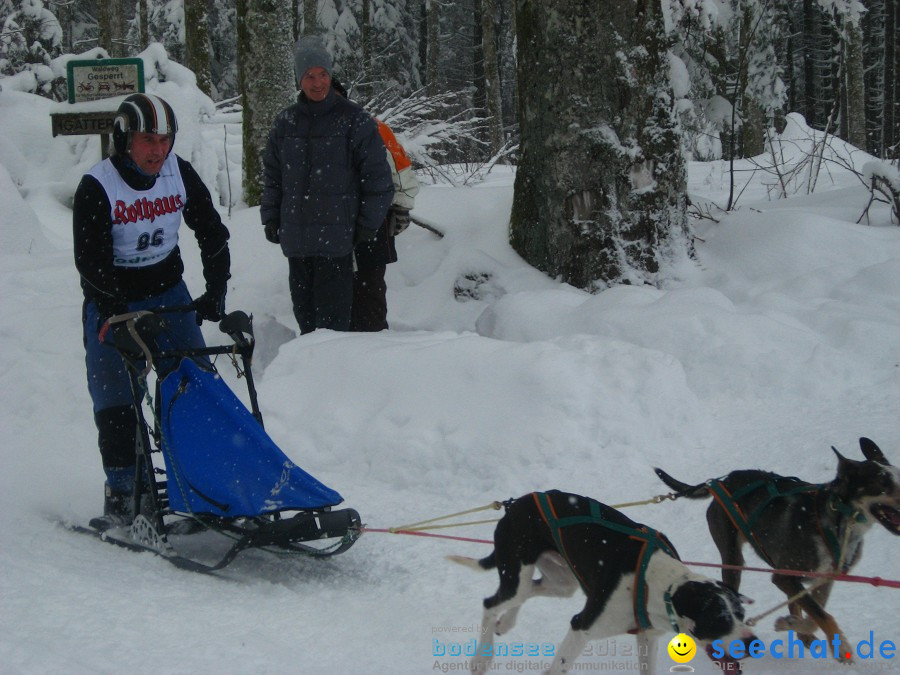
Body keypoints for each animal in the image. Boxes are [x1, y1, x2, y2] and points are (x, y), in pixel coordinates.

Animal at [450, 492, 752, 675]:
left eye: (741, 614)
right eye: (718, 618)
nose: (753, 643)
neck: (654, 582)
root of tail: (515, 505)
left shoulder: (647, 636)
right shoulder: (581, 626)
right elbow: (558, 667)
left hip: (562, 582)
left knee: (528, 592)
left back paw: (506, 623)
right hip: (516, 573)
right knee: (491, 603)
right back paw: (481, 659)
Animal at [652, 436, 900, 664]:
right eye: (882, 482)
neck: (836, 522)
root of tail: (721, 481)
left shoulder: (824, 579)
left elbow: (816, 614)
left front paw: (794, 625)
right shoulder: (784, 576)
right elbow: (822, 614)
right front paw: (842, 650)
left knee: (795, 603)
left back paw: (800, 632)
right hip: (733, 559)